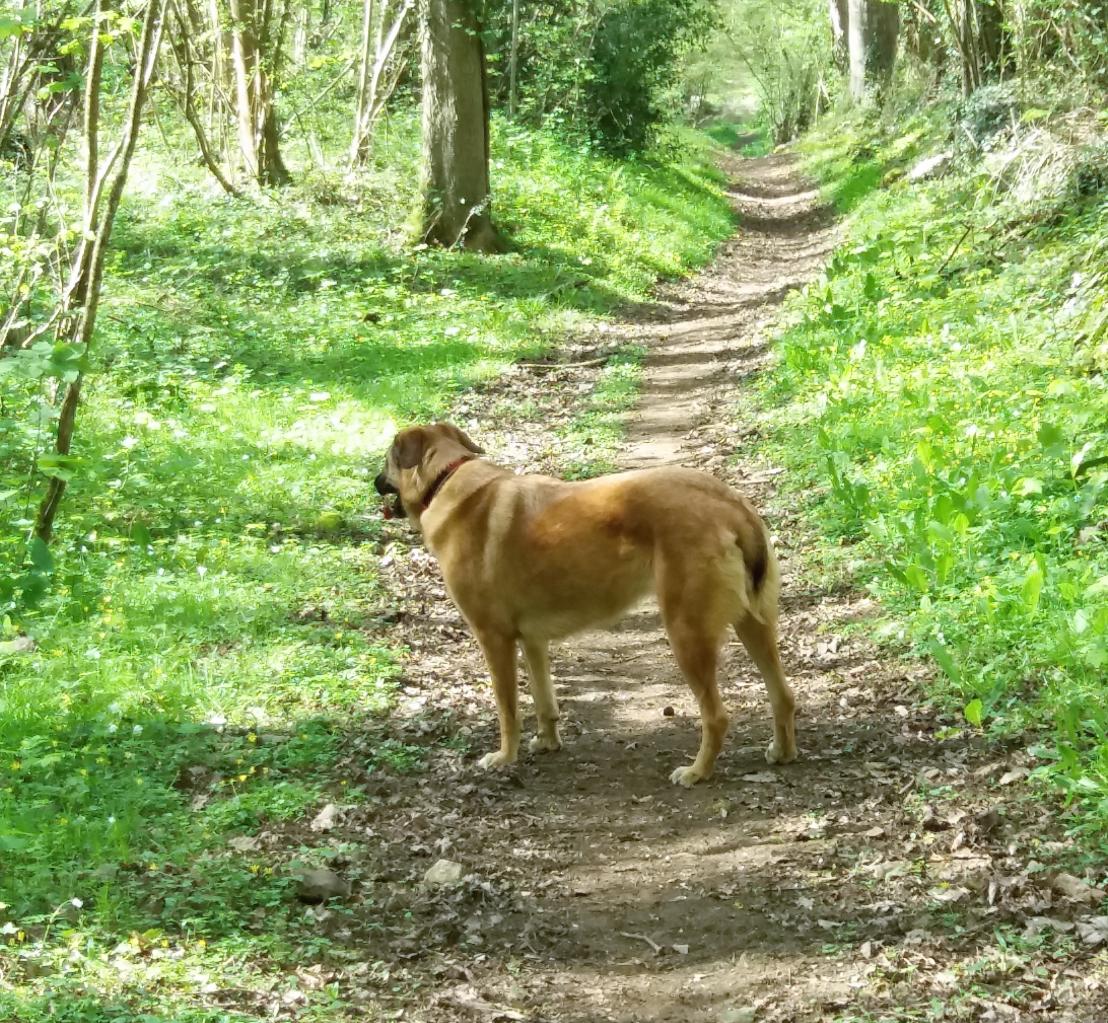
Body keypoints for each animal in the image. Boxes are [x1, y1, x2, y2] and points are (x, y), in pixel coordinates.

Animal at [374, 418, 797, 789]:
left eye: (386, 460)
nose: (373, 483)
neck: (446, 478)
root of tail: (729, 502)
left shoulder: (494, 639)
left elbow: (508, 709)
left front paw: (505, 757)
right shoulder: (532, 642)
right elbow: (544, 700)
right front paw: (547, 743)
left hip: (686, 634)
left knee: (717, 716)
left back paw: (698, 772)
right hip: (755, 624)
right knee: (784, 695)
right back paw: (783, 753)